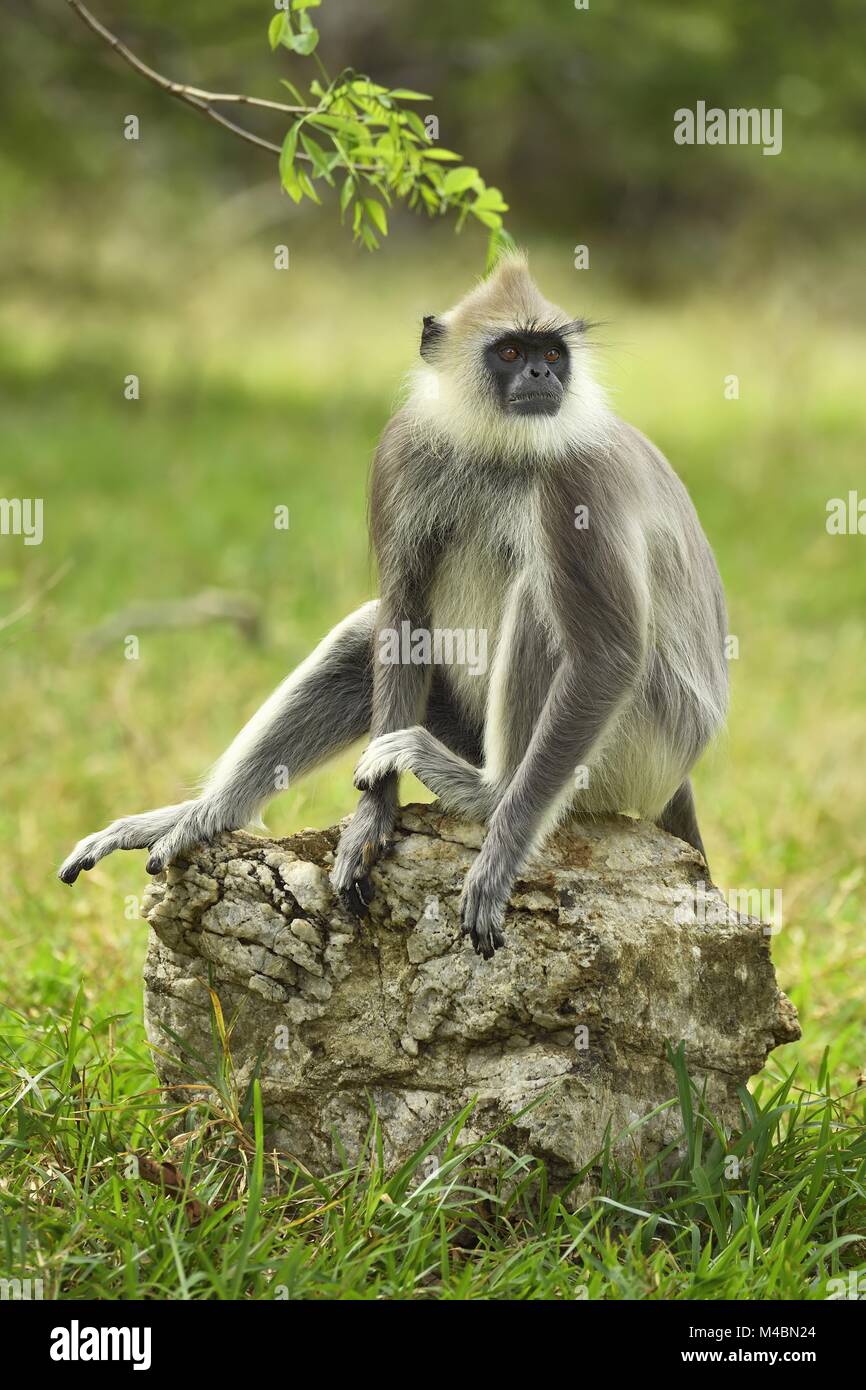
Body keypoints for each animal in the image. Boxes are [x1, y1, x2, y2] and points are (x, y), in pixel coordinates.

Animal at [57, 255, 728, 961]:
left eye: (552, 353)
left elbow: (607, 653)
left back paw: (488, 793)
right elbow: (402, 614)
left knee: (543, 604)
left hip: (638, 750)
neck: (499, 448)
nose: (543, 376)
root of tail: (683, 770)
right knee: (365, 634)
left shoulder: (578, 476)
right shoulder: (405, 449)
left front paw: (498, 857)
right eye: (511, 352)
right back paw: (204, 817)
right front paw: (368, 823)